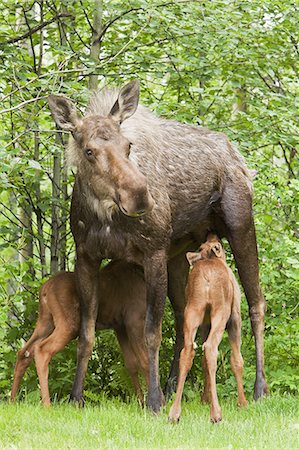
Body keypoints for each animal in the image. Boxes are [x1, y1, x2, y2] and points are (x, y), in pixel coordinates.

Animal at [10, 260, 149, 404]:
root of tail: (44, 290)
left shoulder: (119, 326)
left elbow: (131, 363)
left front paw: (141, 402)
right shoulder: (134, 320)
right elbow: (145, 361)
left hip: (45, 322)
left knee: (24, 352)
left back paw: (12, 400)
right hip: (69, 325)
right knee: (42, 350)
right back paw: (47, 404)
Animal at [169, 234, 248, 424]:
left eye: (204, 244)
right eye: (217, 244)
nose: (213, 233)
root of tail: (206, 277)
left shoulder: (205, 323)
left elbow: (204, 363)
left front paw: (204, 399)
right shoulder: (235, 318)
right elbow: (237, 360)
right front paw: (243, 403)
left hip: (193, 310)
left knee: (188, 350)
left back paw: (174, 412)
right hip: (221, 311)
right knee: (211, 348)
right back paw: (216, 413)